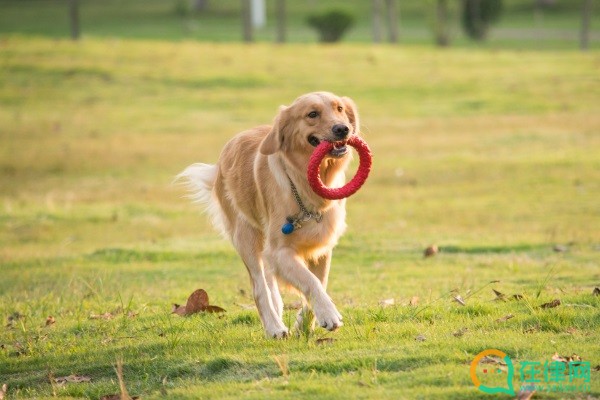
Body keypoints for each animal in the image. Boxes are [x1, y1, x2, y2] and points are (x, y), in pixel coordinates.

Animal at [179, 92, 360, 340]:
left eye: (340, 109)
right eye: (312, 114)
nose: (342, 129)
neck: (304, 185)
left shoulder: (321, 248)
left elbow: (319, 282)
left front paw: (304, 324)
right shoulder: (279, 251)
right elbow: (310, 281)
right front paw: (329, 314)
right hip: (245, 237)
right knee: (259, 287)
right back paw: (274, 326)